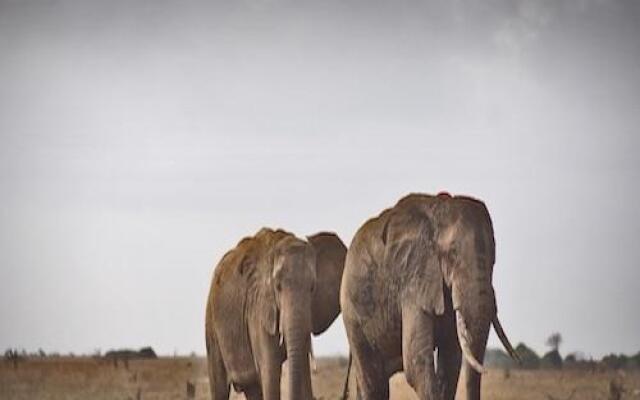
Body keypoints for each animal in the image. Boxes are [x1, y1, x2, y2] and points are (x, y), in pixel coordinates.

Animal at [205, 228, 348, 400]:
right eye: (278, 287)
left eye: (312, 287)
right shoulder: (258, 309)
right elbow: (270, 373)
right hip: (211, 322)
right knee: (219, 384)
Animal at [340, 192, 520, 398]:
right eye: (452, 254)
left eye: (494, 259)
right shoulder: (413, 279)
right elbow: (416, 363)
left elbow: (450, 361)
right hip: (352, 312)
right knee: (374, 382)